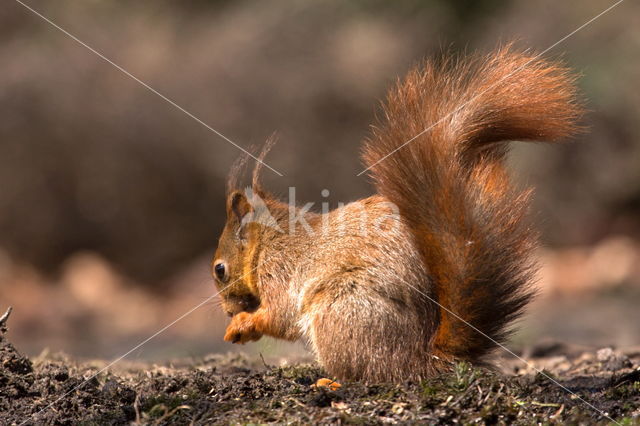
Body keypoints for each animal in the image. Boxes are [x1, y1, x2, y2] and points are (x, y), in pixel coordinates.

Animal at [212, 46, 584, 382]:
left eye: (219, 270)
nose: (227, 311)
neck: (268, 240)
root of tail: (422, 359)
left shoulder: (279, 270)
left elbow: (280, 315)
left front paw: (242, 324)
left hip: (340, 311)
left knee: (371, 374)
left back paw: (333, 381)